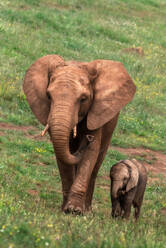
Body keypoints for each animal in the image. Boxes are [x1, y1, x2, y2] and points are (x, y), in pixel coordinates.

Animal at [22, 55, 136, 214]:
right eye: (49, 96)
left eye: (83, 99)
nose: (88, 139)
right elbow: (62, 155)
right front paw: (66, 208)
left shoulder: (96, 112)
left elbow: (91, 153)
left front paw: (75, 210)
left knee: (96, 164)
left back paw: (87, 210)